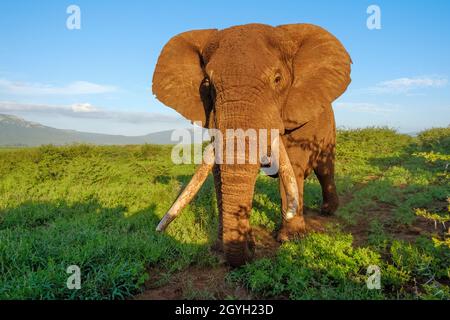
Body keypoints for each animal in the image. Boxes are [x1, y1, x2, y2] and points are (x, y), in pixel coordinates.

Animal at [151, 23, 352, 268]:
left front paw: (290, 239)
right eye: (207, 84)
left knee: (324, 169)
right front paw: (222, 248)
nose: (251, 246)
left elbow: (292, 168)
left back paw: (327, 211)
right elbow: (217, 171)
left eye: (277, 79)